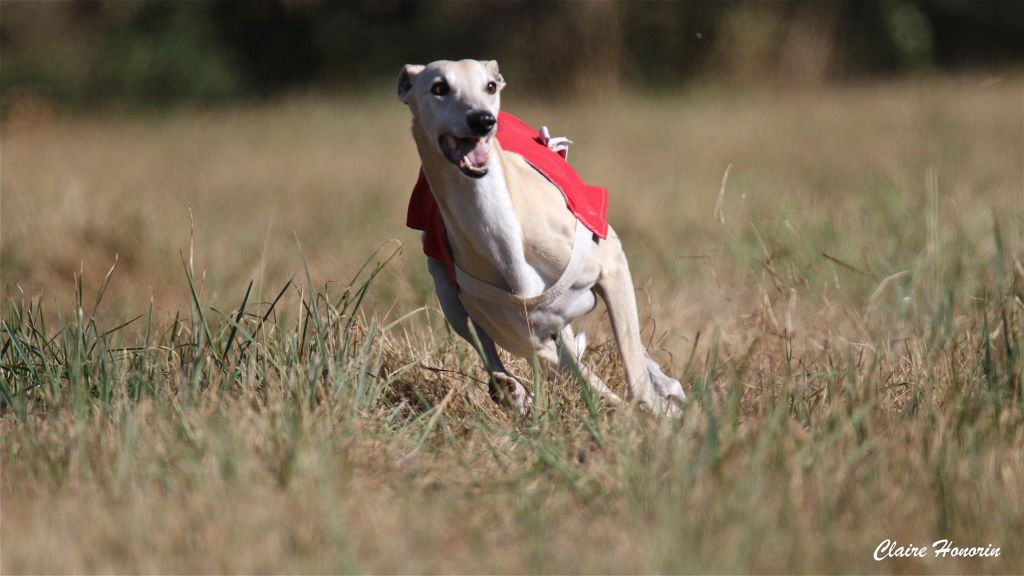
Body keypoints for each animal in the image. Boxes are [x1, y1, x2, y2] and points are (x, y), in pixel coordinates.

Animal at [399, 60, 688, 414]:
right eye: (439, 87)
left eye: (490, 86)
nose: (482, 120)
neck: (501, 233)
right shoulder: (526, 333)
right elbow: (566, 367)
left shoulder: (612, 265)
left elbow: (632, 366)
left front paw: (658, 408)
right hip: (449, 296)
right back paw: (511, 389)